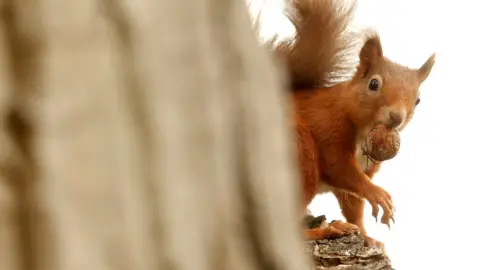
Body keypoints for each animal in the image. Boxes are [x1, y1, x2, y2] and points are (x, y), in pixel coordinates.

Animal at [266, 0, 436, 249]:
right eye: (373, 84)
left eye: (418, 100)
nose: (397, 117)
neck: (364, 129)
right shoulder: (328, 126)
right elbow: (340, 169)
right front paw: (378, 194)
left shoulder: (367, 167)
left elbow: (354, 205)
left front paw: (367, 236)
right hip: (299, 154)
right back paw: (323, 231)